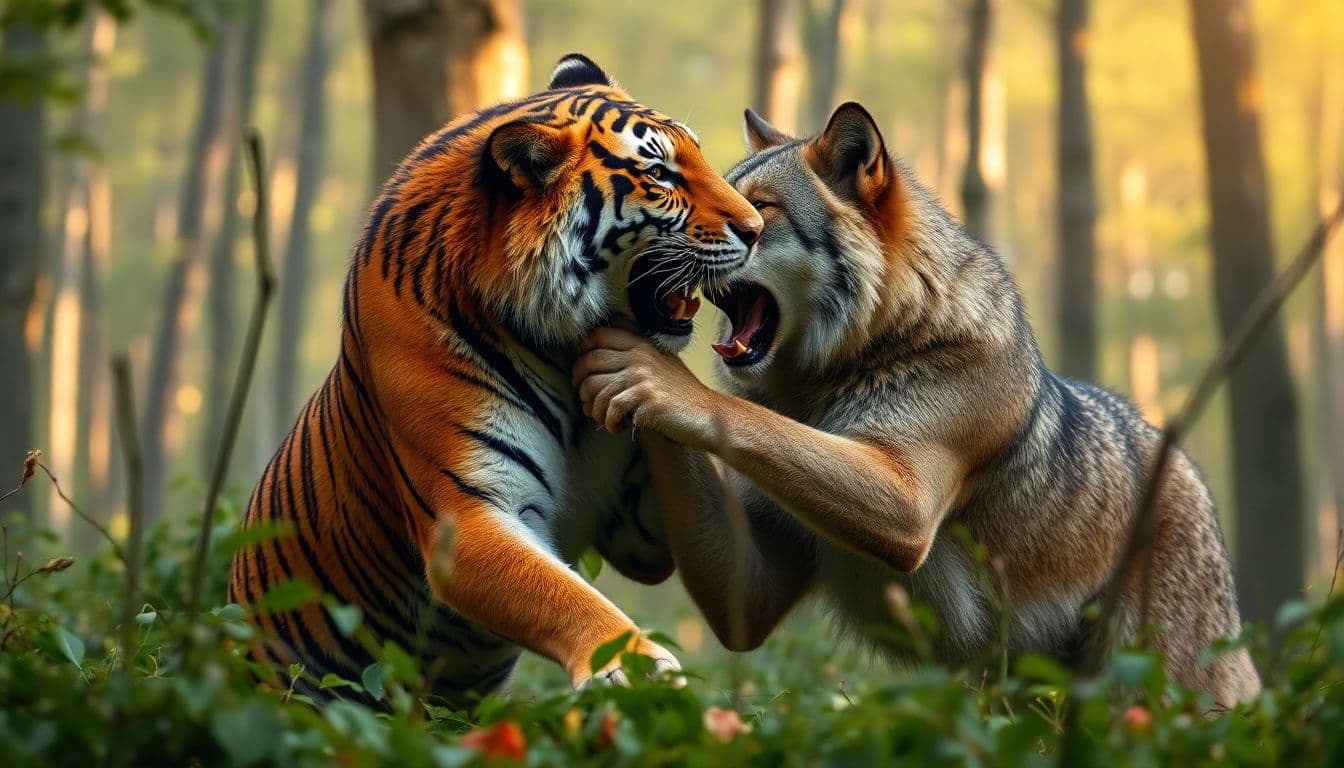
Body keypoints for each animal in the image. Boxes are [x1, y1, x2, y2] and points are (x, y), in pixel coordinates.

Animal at [227, 54, 763, 707]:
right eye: (659, 173)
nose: (757, 228)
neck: (565, 343)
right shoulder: (469, 516)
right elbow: (563, 595)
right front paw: (636, 668)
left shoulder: (637, 532)